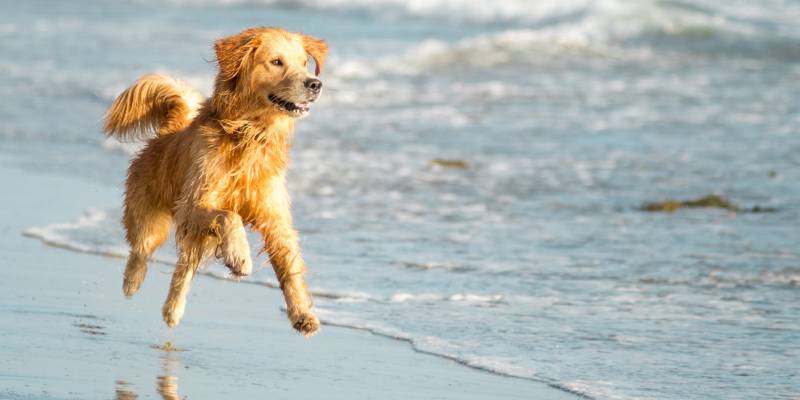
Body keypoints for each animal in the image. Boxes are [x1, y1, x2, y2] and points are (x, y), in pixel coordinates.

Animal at [104, 26, 328, 336]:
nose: (314, 84)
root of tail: (166, 133)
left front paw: (302, 314)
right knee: (141, 249)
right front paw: (240, 256)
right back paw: (132, 282)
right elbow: (229, 215)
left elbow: (289, 265)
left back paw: (172, 310)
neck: (248, 133)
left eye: (304, 62)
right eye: (276, 62)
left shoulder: (275, 216)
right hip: (151, 217)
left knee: (184, 267)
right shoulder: (193, 203)